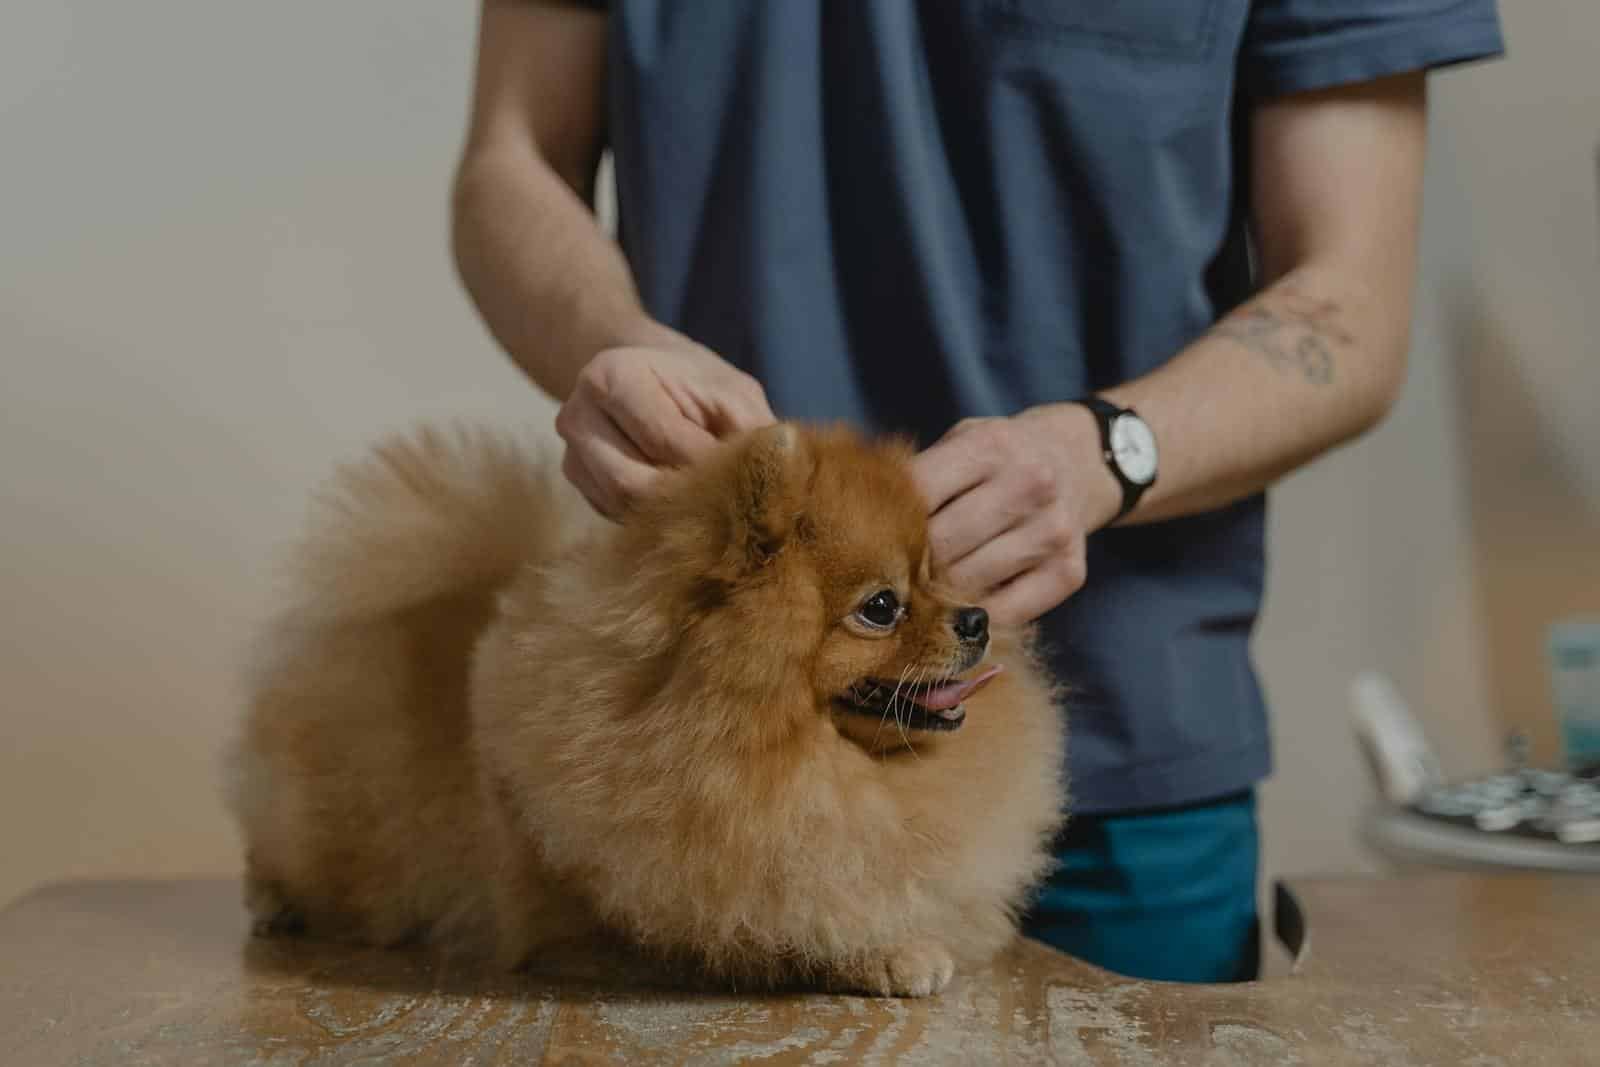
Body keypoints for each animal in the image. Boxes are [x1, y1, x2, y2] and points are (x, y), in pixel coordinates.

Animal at [225, 422, 1068, 998]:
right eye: (883, 606)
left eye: (938, 574)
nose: (976, 619)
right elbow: (772, 924)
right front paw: (888, 952)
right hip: (334, 839)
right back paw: (273, 902)